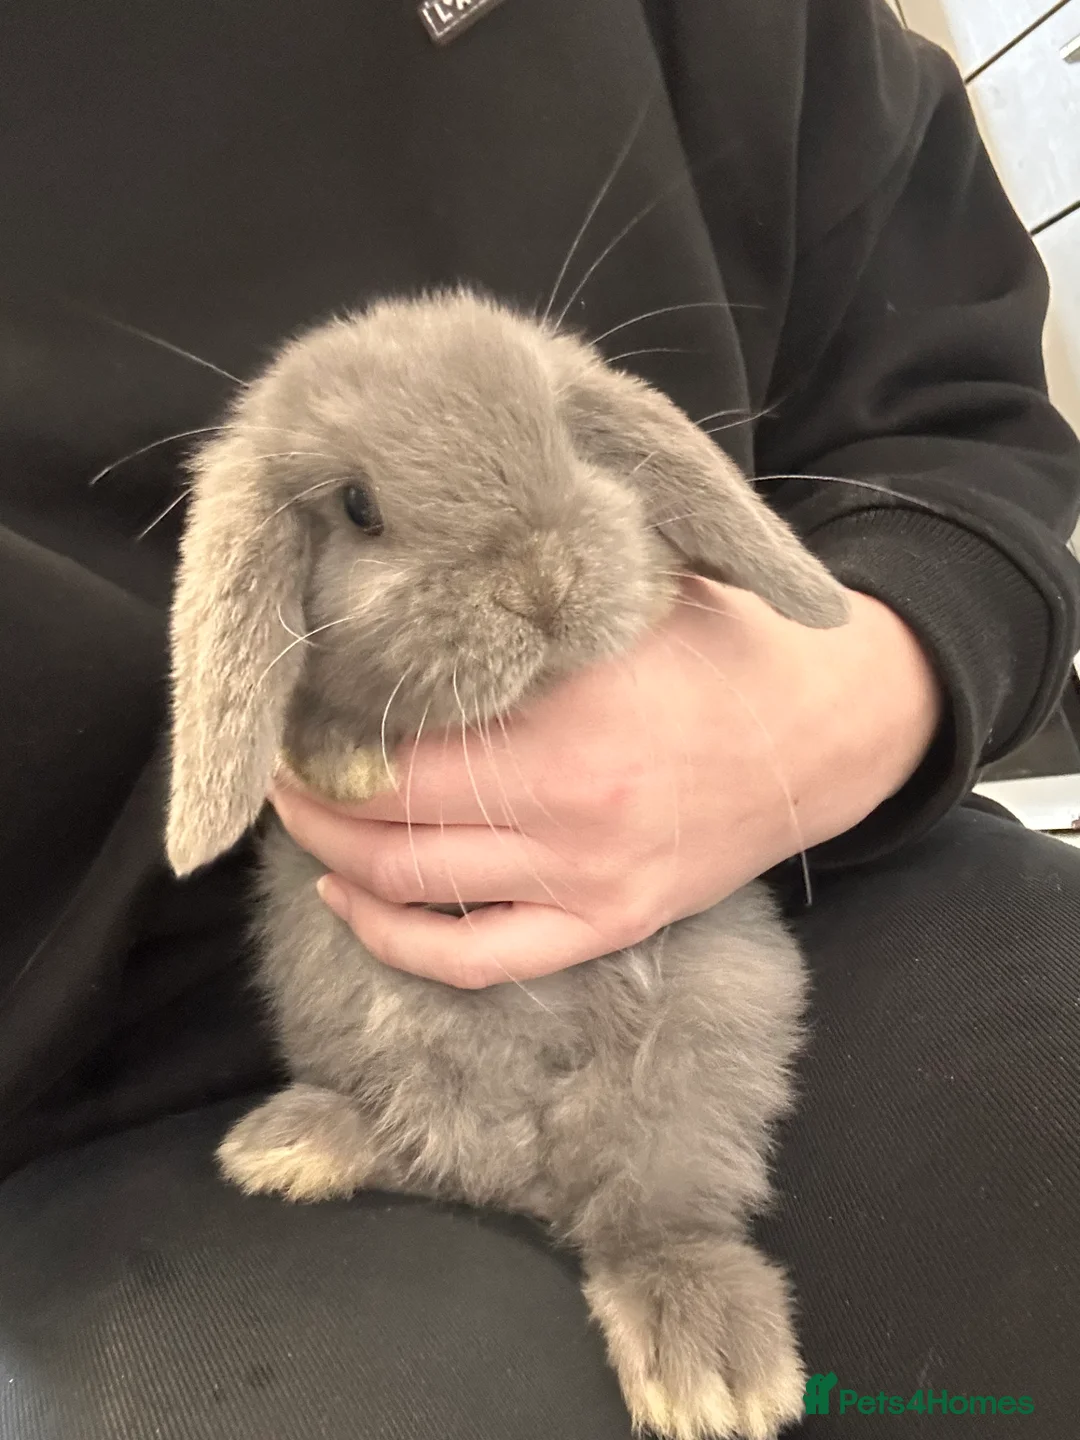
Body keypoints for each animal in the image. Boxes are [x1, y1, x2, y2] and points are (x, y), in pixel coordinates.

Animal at [165, 289, 850, 1440]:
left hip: (696, 1059)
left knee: (654, 1225)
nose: (541, 582)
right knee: (409, 1145)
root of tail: (516, 1178)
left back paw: (712, 1369)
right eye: (357, 507)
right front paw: (343, 759)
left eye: (569, 441)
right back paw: (290, 1147)